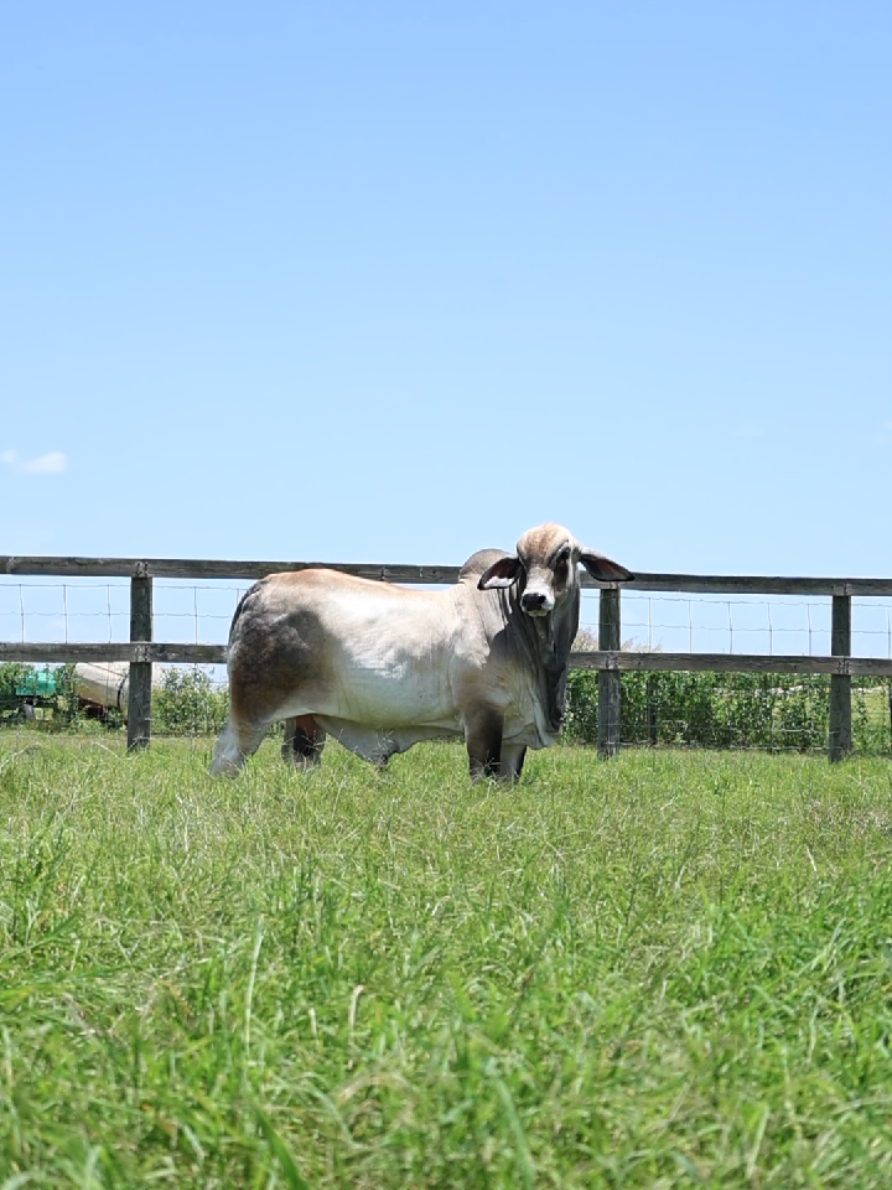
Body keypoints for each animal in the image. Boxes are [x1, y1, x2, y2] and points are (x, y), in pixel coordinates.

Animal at [210, 523, 632, 781]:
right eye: (522, 563)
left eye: (563, 557)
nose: (533, 598)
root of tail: (263, 585)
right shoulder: (482, 717)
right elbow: (482, 775)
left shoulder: (515, 734)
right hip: (252, 710)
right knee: (226, 758)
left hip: (305, 718)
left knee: (300, 758)